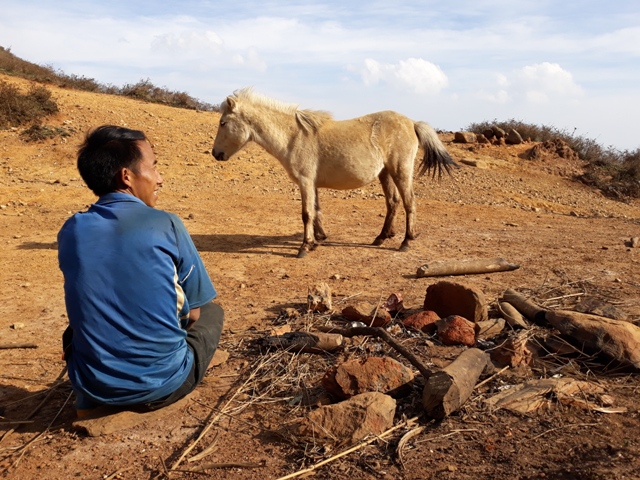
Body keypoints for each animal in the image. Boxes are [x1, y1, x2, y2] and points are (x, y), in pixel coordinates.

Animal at [212, 87, 458, 256]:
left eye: (223, 123)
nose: (216, 153)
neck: (294, 137)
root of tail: (412, 122)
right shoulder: (312, 184)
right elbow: (316, 211)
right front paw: (318, 239)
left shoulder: (305, 182)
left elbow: (306, 213)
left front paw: (304, 246)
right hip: (385, 173)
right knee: (393, 203)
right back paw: (381, 237)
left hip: (400, 171)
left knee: (409, 202)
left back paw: (406, 242)